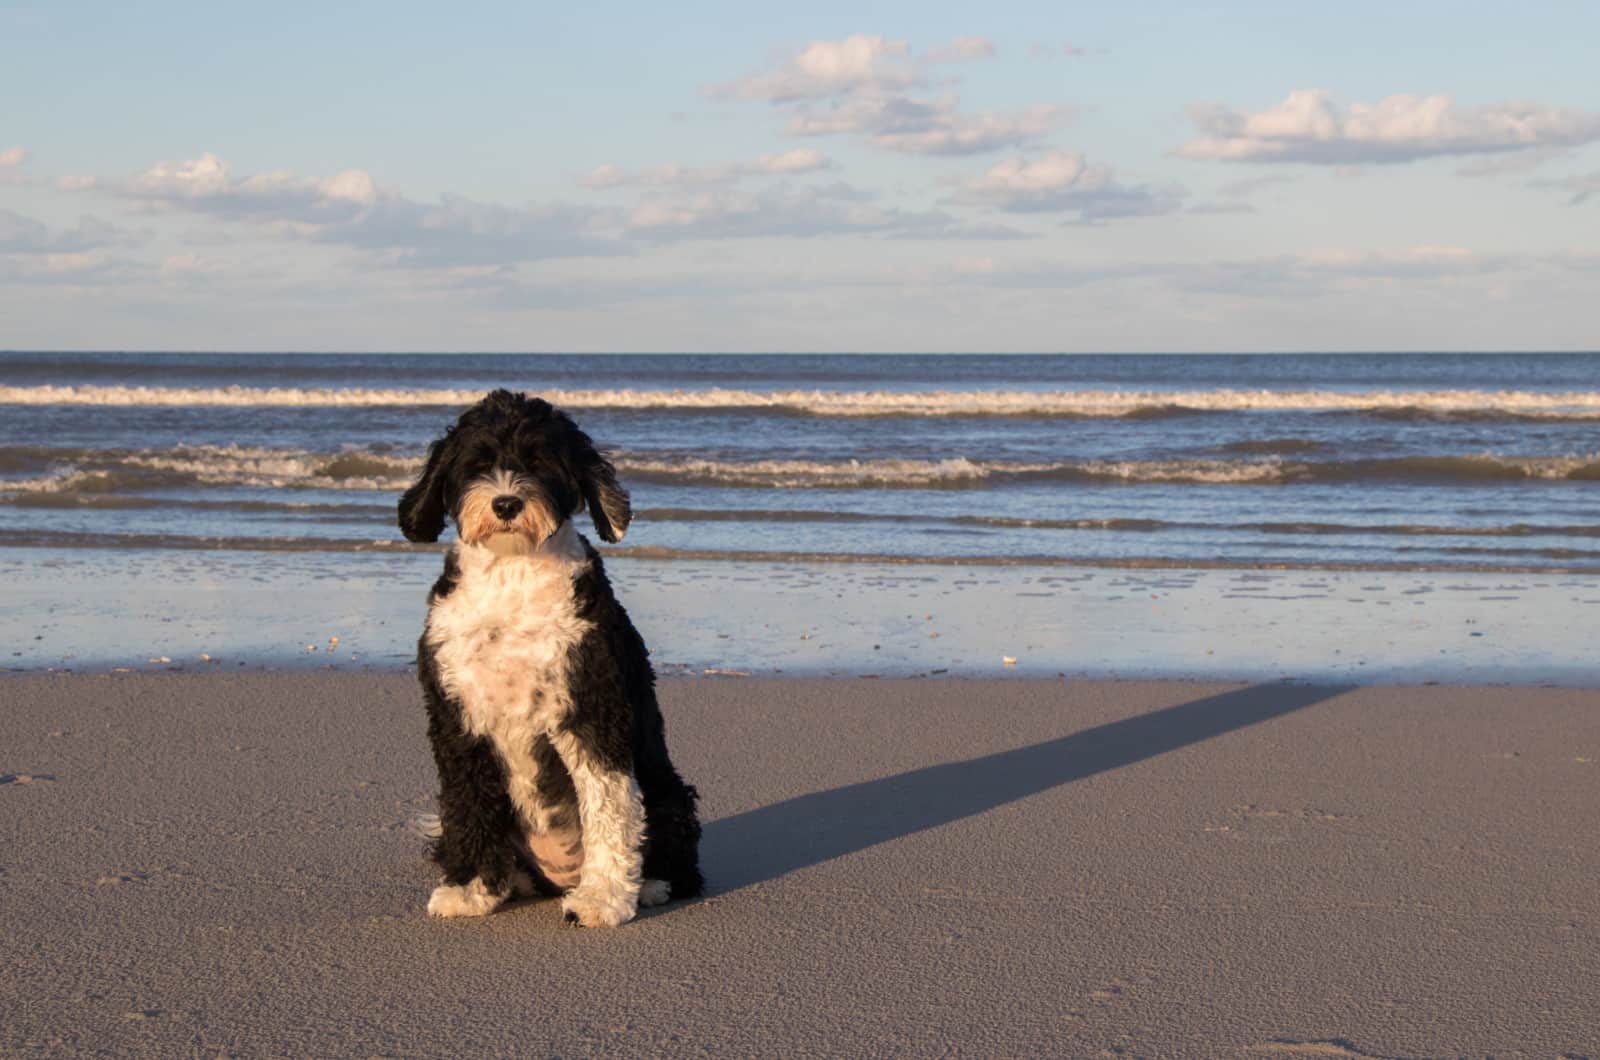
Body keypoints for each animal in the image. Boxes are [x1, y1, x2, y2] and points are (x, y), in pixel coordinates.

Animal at [398, 390, 700, 928]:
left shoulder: (592, 707)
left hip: (668, 795)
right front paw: (470, 888)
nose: (506, 502)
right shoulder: (456, 718)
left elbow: (607, 803)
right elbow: (467, 802)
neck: (512, 574)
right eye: (478, 464)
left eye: (539, 462)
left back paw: (647, 885)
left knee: (676, 858)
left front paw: (602, 898)